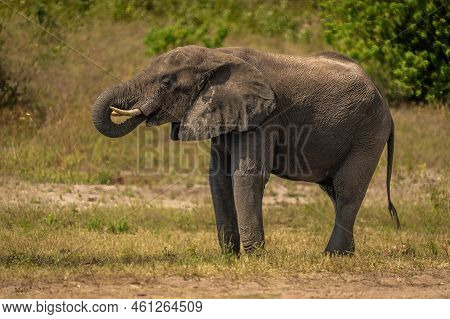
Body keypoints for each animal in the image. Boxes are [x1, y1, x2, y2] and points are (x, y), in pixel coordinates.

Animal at [90, 45, 398, 256]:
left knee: (347, 189)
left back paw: (333, 255)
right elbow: (219, 178)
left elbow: (247, 175)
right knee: (334, 191)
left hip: (369, 131)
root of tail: (385, 103)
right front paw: (230, 256)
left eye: (166, 83)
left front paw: (254, 256)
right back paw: (347, 253)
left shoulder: (264, 118)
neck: (217, 56)